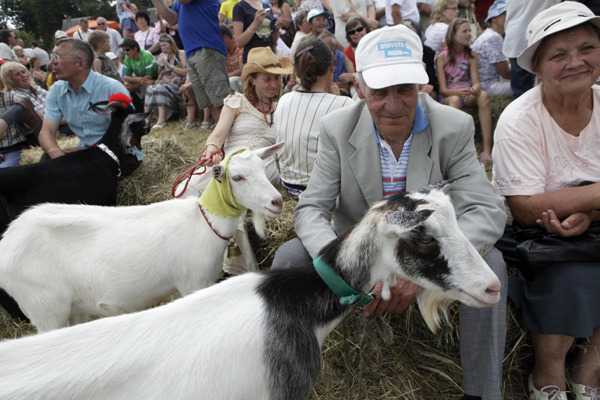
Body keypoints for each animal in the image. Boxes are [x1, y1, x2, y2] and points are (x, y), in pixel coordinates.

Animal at [0, 143, 284, 332]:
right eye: (237, 177)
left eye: (263, 168)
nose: (277, 202)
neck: (204, 220)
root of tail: (8, 241)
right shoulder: (193, 282)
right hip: (44, 307)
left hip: (71, 308)